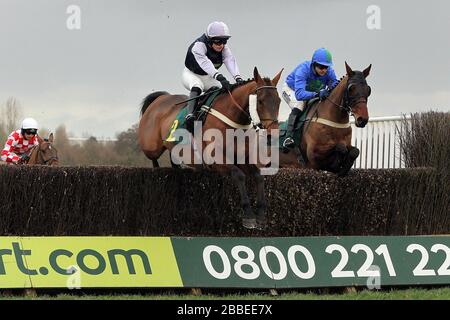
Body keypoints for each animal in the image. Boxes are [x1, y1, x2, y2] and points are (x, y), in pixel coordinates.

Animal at [139, 67, 284, 230]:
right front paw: (248, 215)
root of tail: (160, 98)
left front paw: (260, 215)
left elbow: (259, 176)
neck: (233, 118)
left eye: (278, 101)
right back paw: (157, 171)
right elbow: (239, 175)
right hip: (151, 146)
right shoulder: (215, 159)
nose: (273, 134)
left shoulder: (243, 158)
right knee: (153, 158)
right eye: (260, 101)